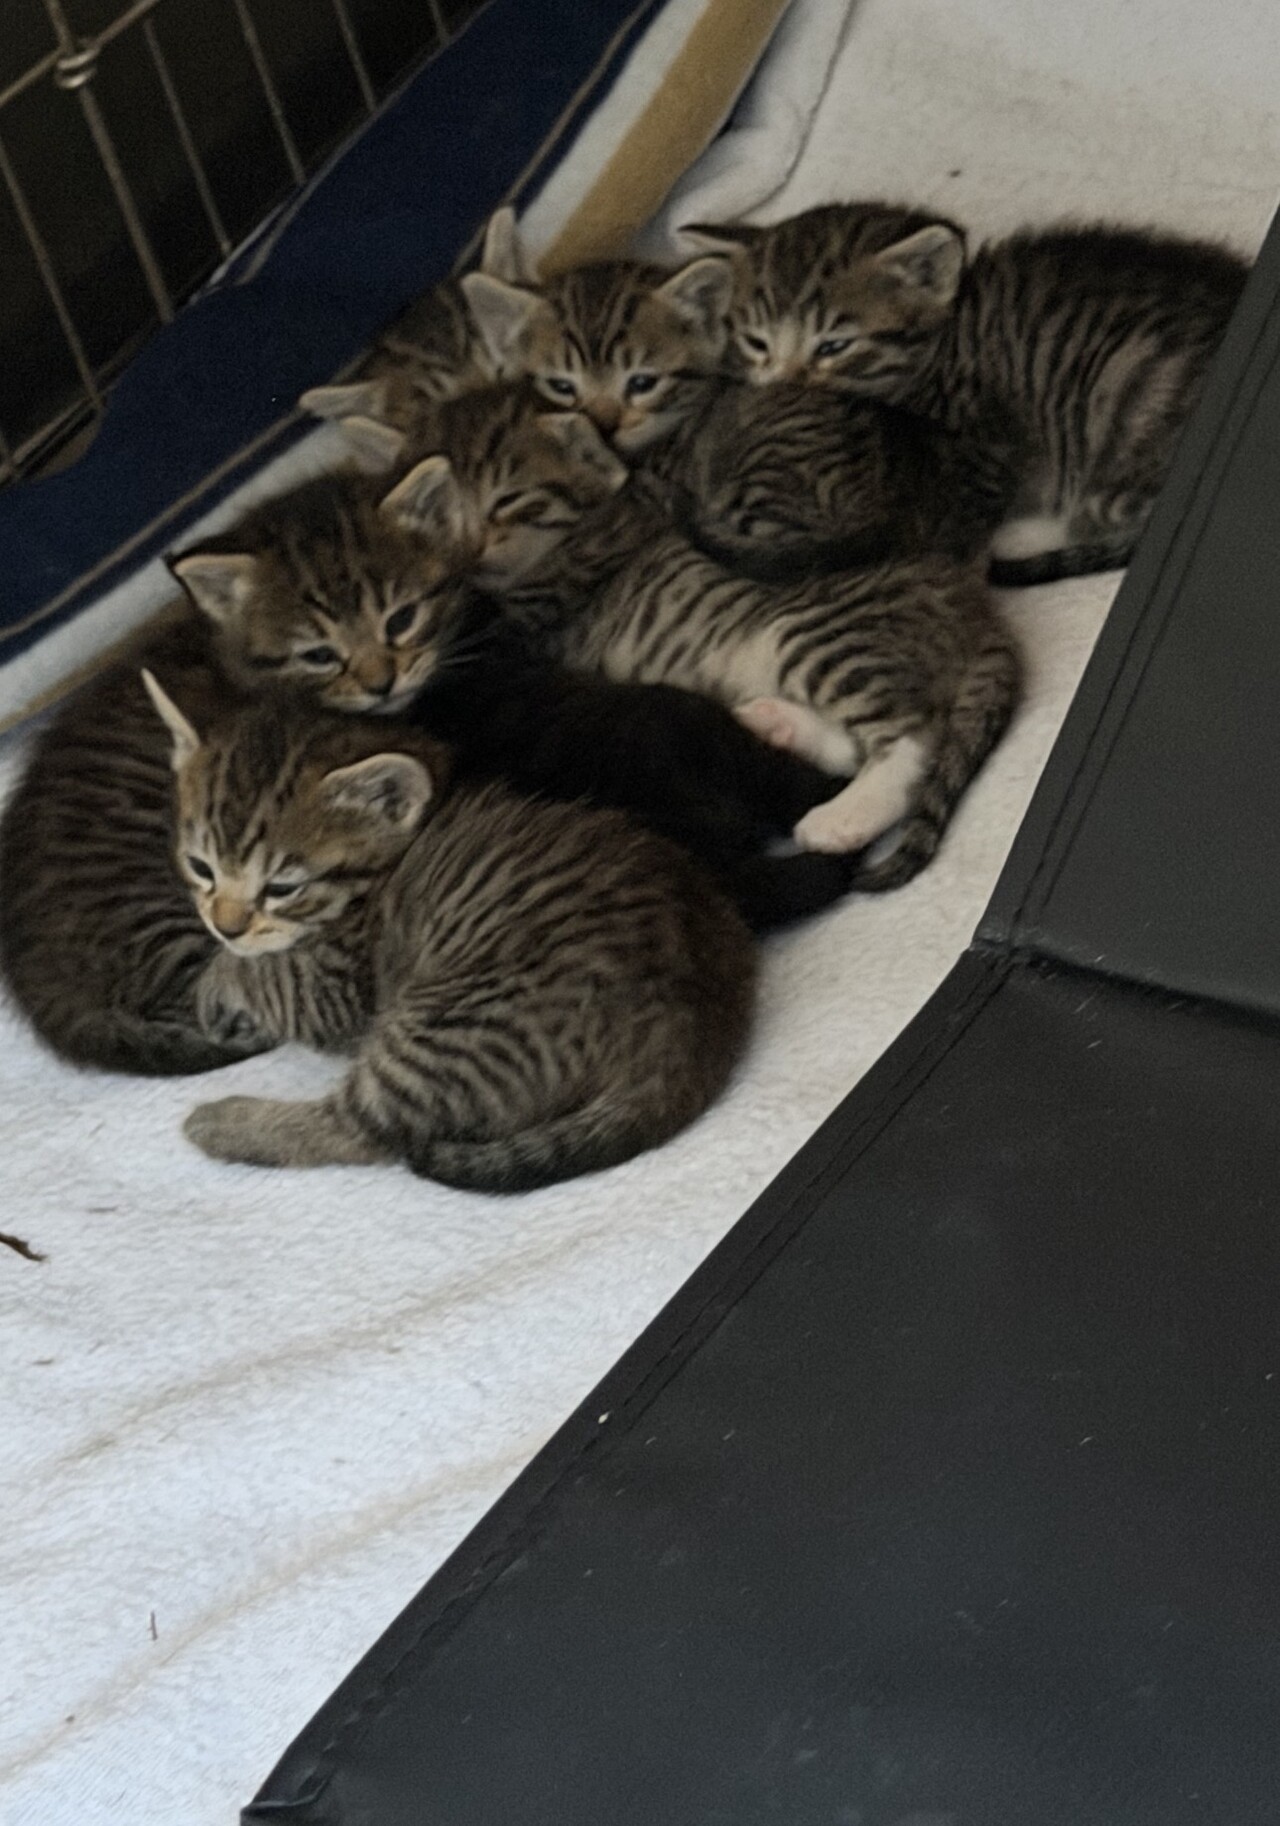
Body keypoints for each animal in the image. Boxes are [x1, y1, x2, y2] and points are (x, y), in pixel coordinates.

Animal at [144, 675, 756, 1190]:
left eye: (282, 886)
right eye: (200, 867)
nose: (225, 925)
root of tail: (693, 1034)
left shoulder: (340, 988)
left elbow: (272, 970)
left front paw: (219, 980)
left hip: (452, 1026)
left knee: (361, 1130)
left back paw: (222, 1122)